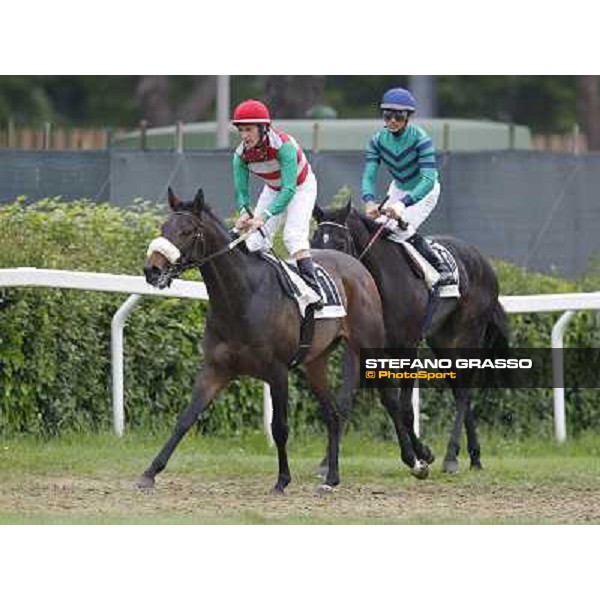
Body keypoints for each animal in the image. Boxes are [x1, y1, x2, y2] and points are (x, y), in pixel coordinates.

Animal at [140, 188, 390, 492]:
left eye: (187, 231)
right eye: (163, 228)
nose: (152, 270)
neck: (241, 298)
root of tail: (358, 266)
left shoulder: (277, 371)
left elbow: (279, 428)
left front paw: (282, 480)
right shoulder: (215, 368)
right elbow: (185, 418)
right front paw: (150, 472)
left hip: (369, 345)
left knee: (390, 394)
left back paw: (417, 461)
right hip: (315, 362)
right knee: (332, 414)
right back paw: (331, 477)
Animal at [312, 202, 508, 474]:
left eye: (340, 243)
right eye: (314, 241)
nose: (326, 277)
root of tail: (483, 260)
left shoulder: (407, 348)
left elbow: (405, 409)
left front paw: (422, 453)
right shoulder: (359, 348)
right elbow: (346, 402)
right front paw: (326, 461)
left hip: (468, 334)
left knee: (464, 391)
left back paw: (451, 456)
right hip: (443, 342)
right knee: (460, 390)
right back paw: (474, 456)